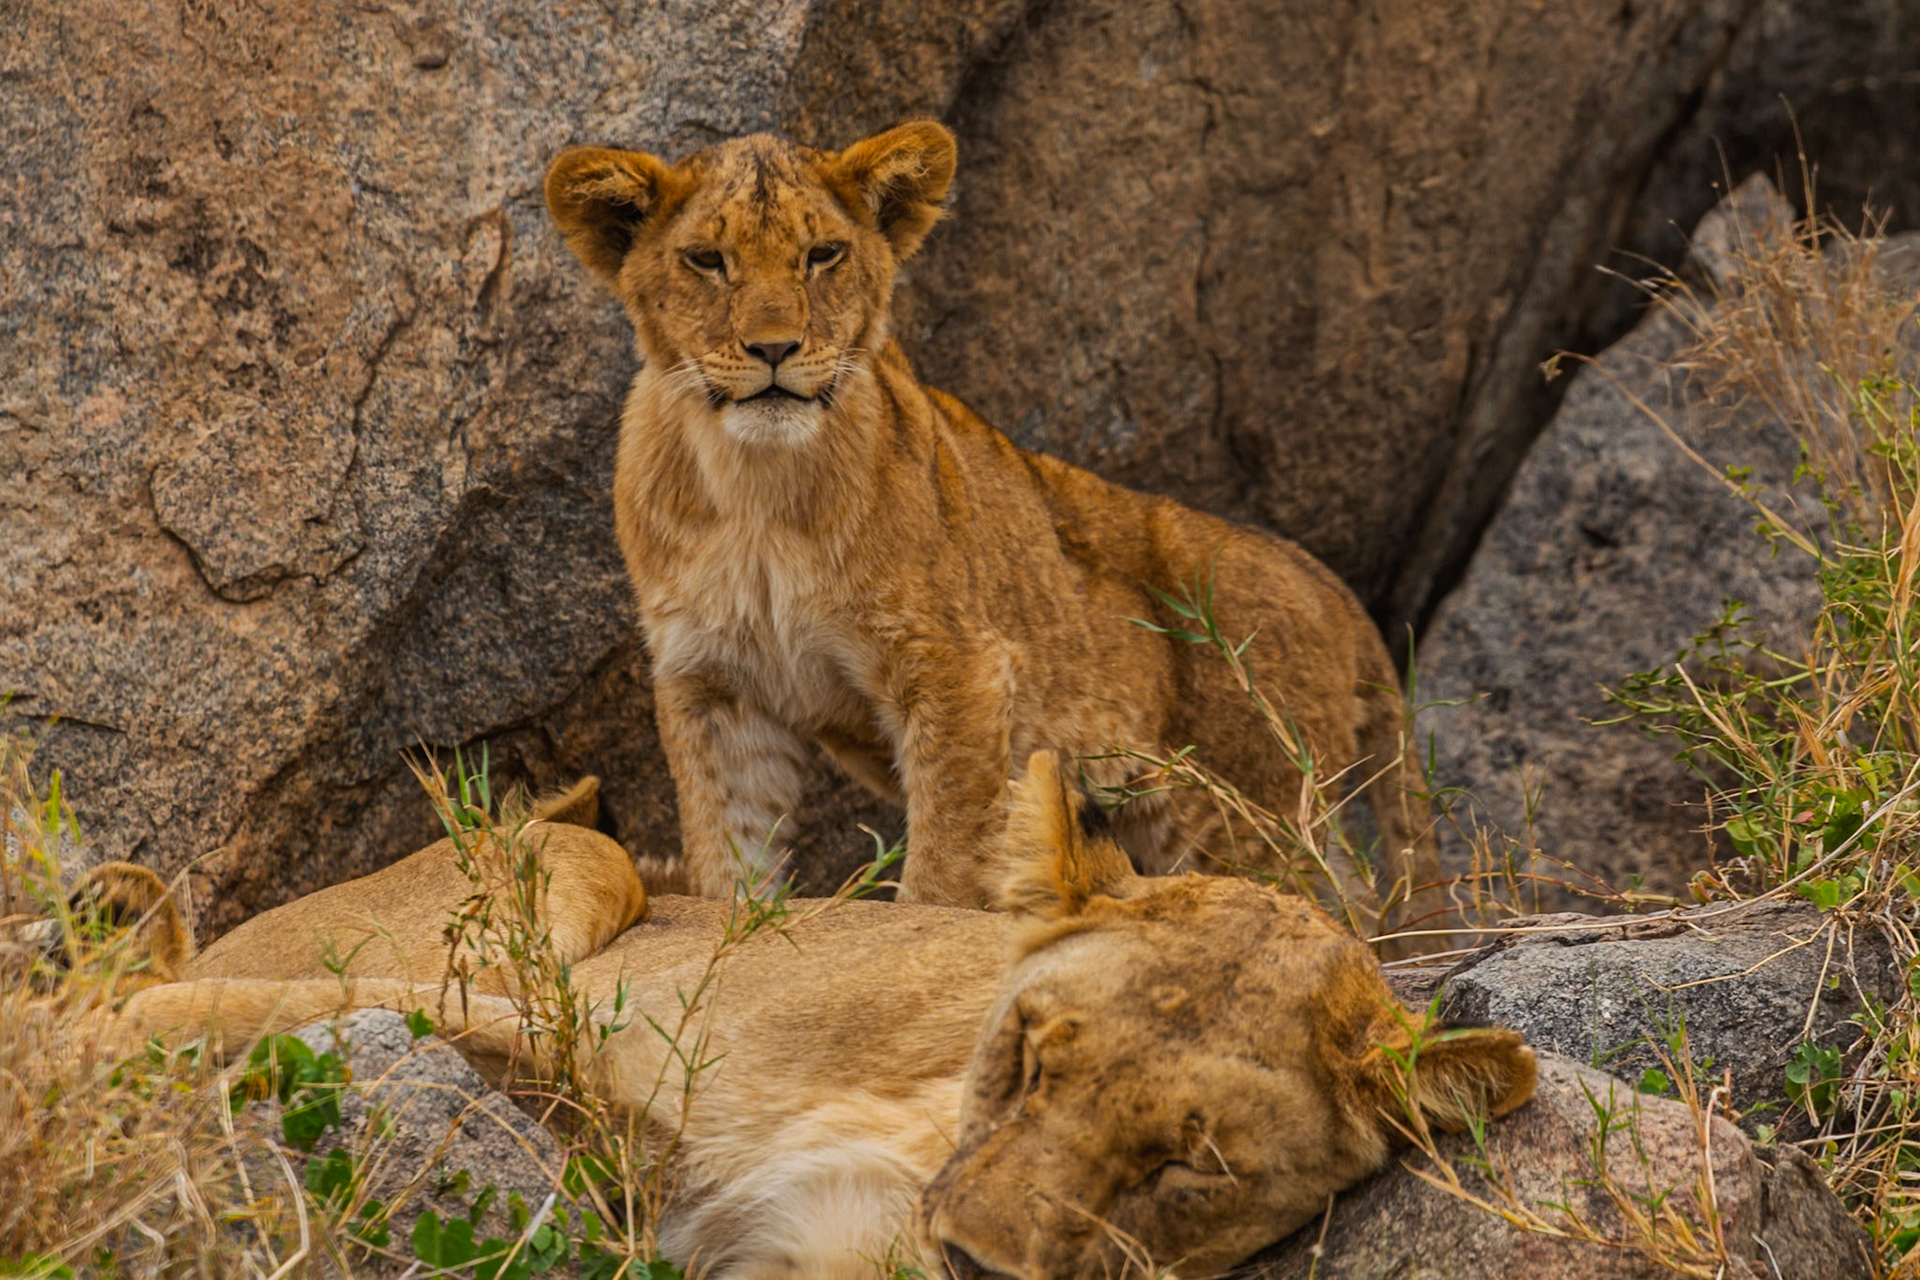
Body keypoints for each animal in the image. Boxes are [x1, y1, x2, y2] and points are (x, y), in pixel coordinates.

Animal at [112, 756, 1534, 1279]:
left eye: (1196, 1166)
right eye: (1032, 1050)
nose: (972, 1262)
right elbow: (341, 1001)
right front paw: (95, 1032)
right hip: (577, 852)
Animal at [540, 120, 1445, 939]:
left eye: (823, 254)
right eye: (706, 260)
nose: (773, 348)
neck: (755, 488)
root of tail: (1330, 588)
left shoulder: (958, 666)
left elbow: (943, 860)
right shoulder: (715, 687)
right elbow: (729, 855)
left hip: (1244, 805)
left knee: (1336, 899)